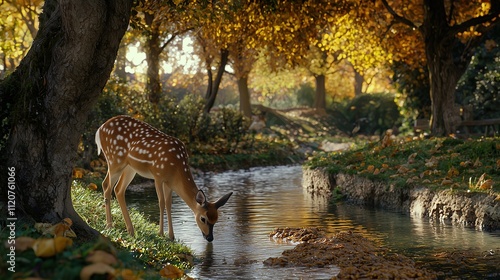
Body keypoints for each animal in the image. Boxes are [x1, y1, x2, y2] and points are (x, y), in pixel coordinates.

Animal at [95, 115, 232, 242]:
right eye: (203, 218)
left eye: (216, 219)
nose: (210, 238)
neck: (176, 167)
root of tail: (100, 129)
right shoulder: (158, 176)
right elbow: (161, 203)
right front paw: (160, 234)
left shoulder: (169, 182)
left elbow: (168, 204)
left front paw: (171, 236)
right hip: (114, 159)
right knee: (107, 186)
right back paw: (110, 226)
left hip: (130, 167)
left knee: (117, 189)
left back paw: (130, 230)